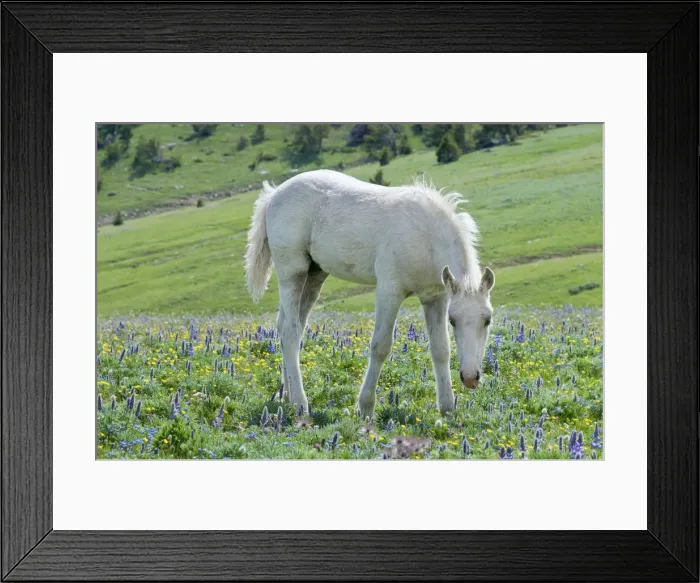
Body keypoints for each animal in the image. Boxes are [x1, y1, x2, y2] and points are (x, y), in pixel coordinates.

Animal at [244, 169, 495, 417]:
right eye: (453, 321)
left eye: (487, 320)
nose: (470, 378)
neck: (425, 236)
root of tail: (274, 194)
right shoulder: (389, 291)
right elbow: (380, 346)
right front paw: (365, 407)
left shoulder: (435, 298)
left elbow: (440, 348)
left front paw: (447, 407)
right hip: (292, 272)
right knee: (290, 329)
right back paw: (299, 404)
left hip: (314, 275)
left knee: (286, 324)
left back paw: (286, 396)